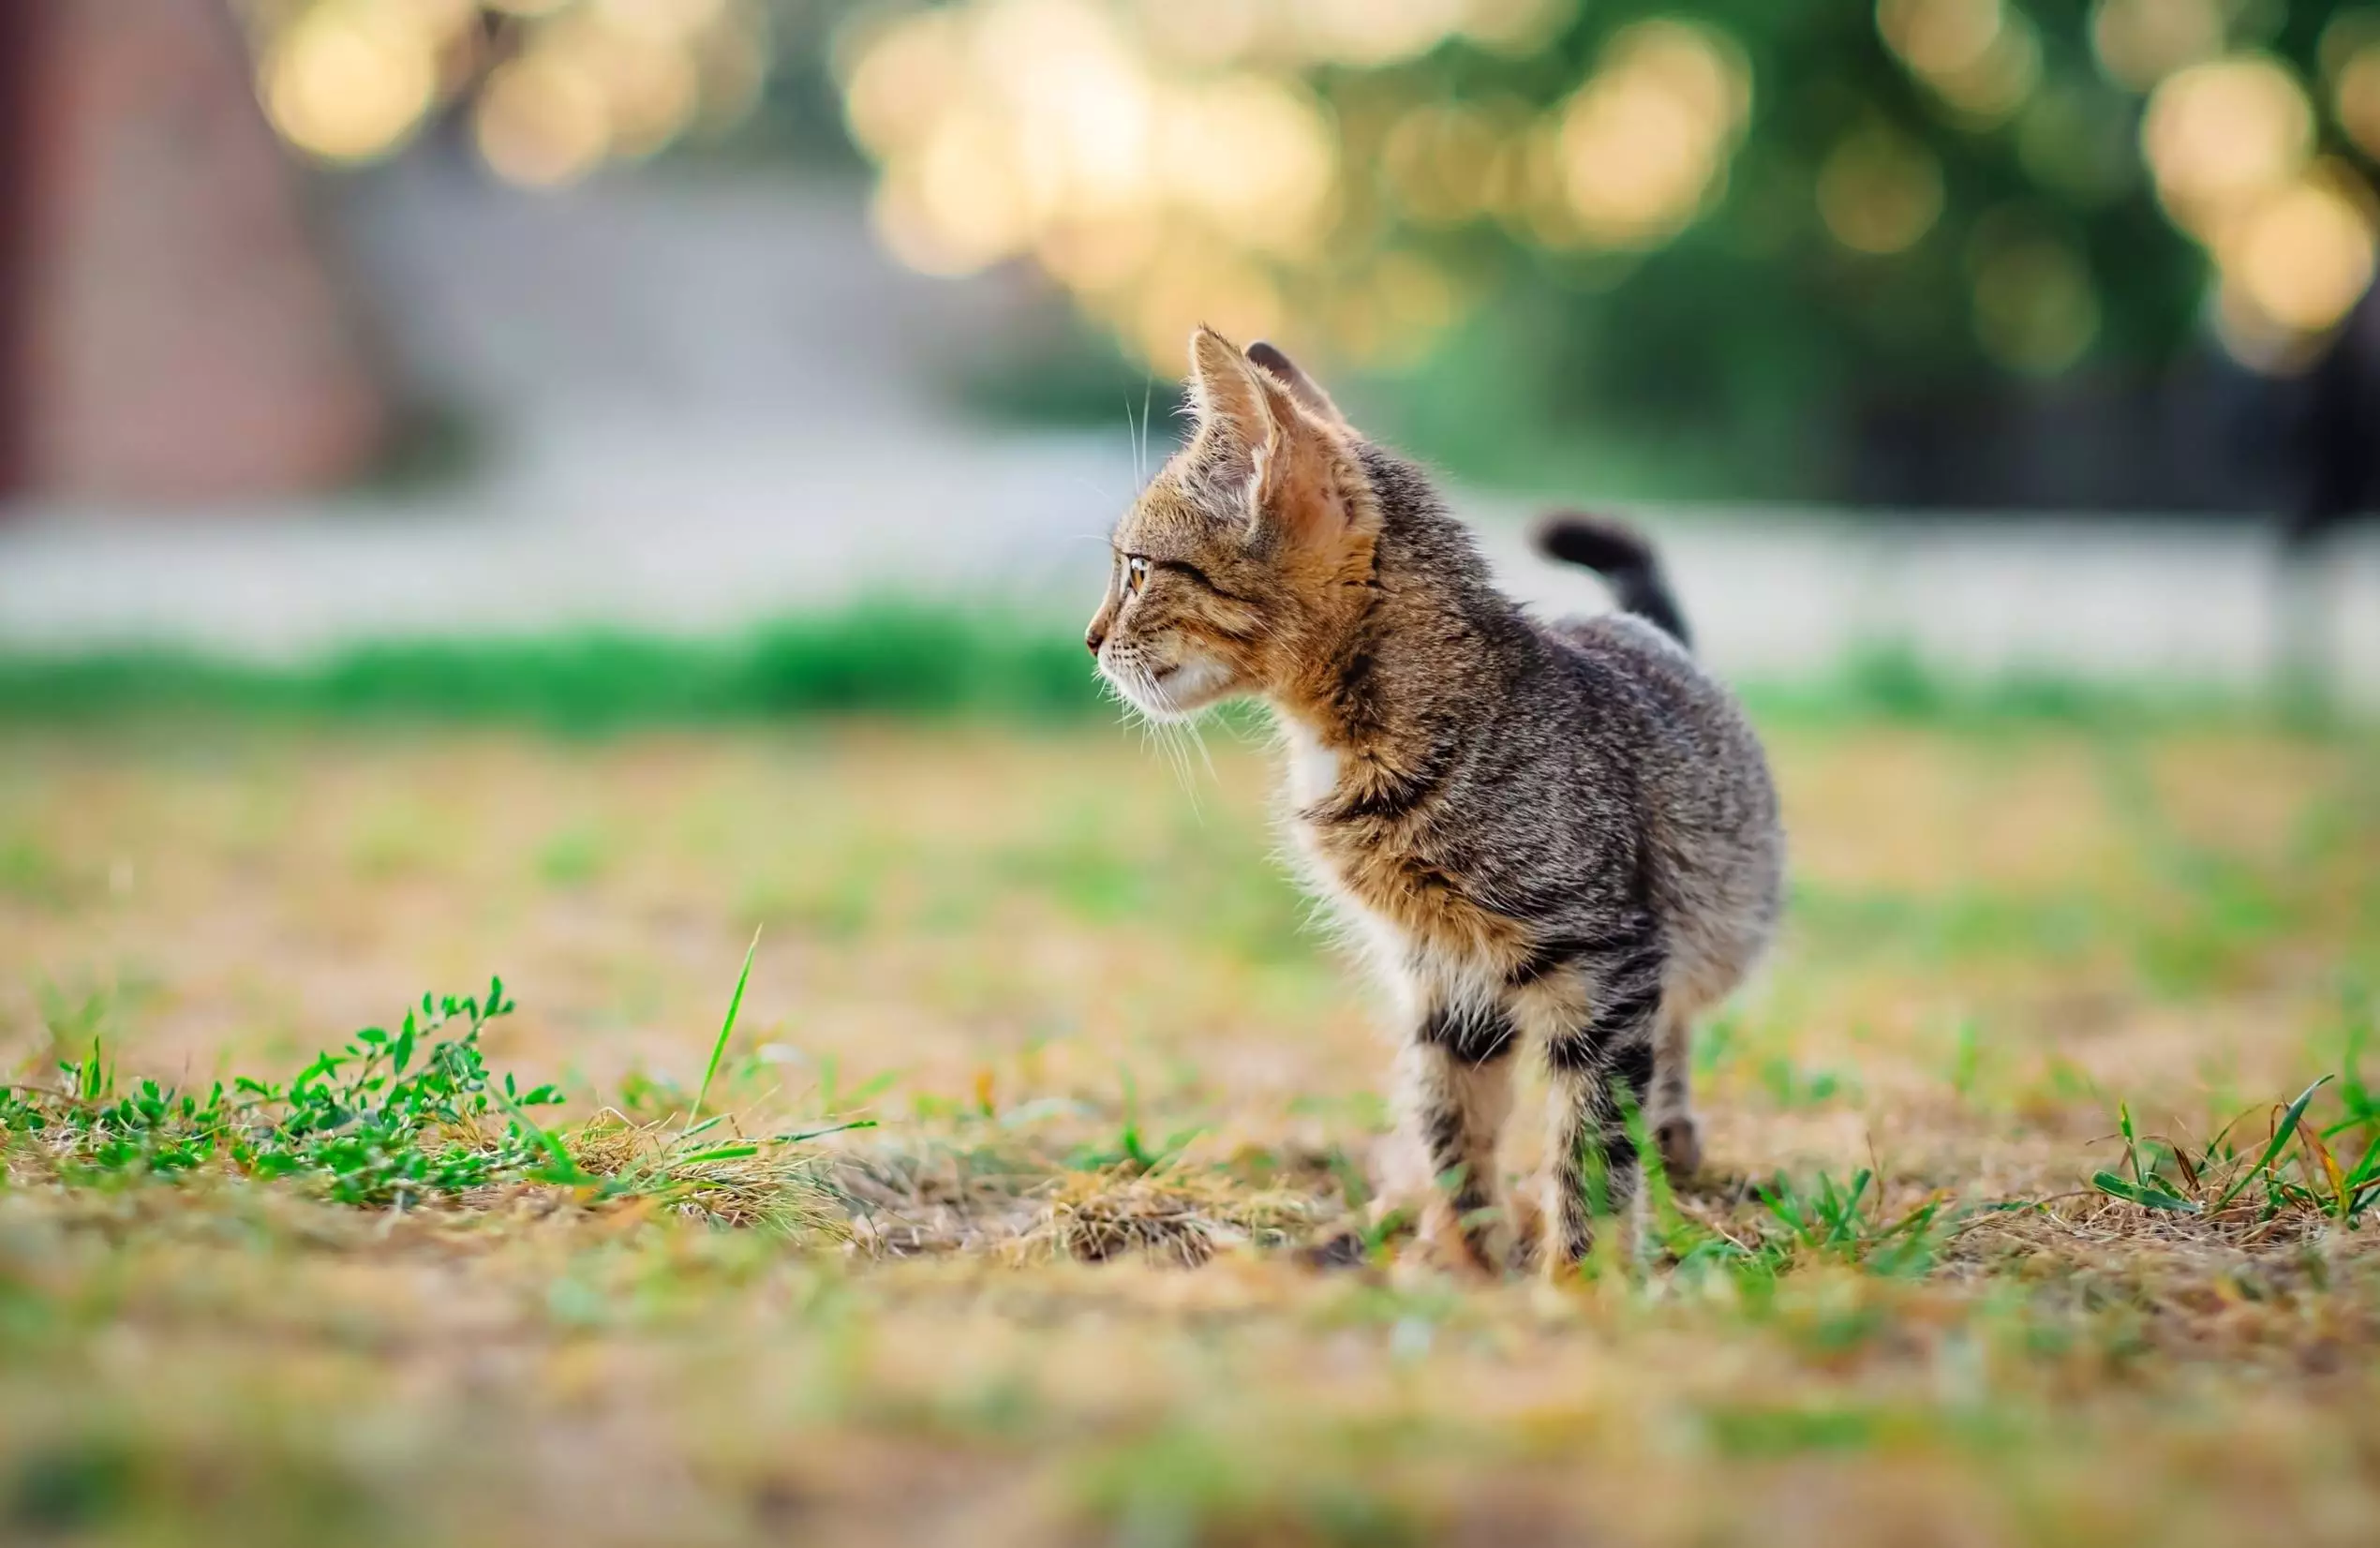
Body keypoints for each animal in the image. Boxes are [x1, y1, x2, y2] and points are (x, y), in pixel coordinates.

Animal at [1090, 328, 1779, 1267]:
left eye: (1137, 570)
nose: (1090, 640)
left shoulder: (1606, 962)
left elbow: (1591, 1145)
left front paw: (1583, 1279)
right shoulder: (1445, 975)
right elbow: (1453, 1123)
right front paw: (1470, 1259)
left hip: (1704, 930)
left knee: (1671, 1036)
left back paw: (1672, 1142)